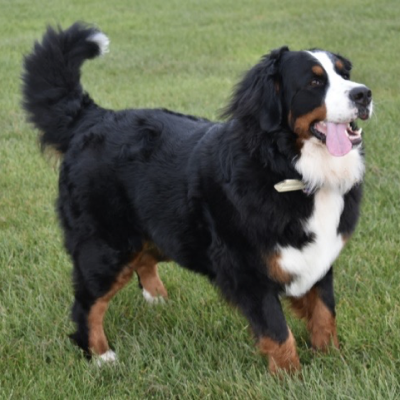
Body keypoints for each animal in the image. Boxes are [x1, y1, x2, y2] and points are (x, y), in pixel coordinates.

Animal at [21, 23, 372, 374]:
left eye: (345, 73)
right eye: (314, 82)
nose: (364, 94)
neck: (289, 169)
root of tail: (93, 117)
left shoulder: (318, 256)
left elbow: (325, 314)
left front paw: (333, 362)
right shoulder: (247, 268)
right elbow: (278, 332)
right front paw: (291, 376)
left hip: (164, 231)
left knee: (144, 261)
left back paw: (157, 300)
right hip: (107, 245)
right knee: (87, 303)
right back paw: (100, 355)